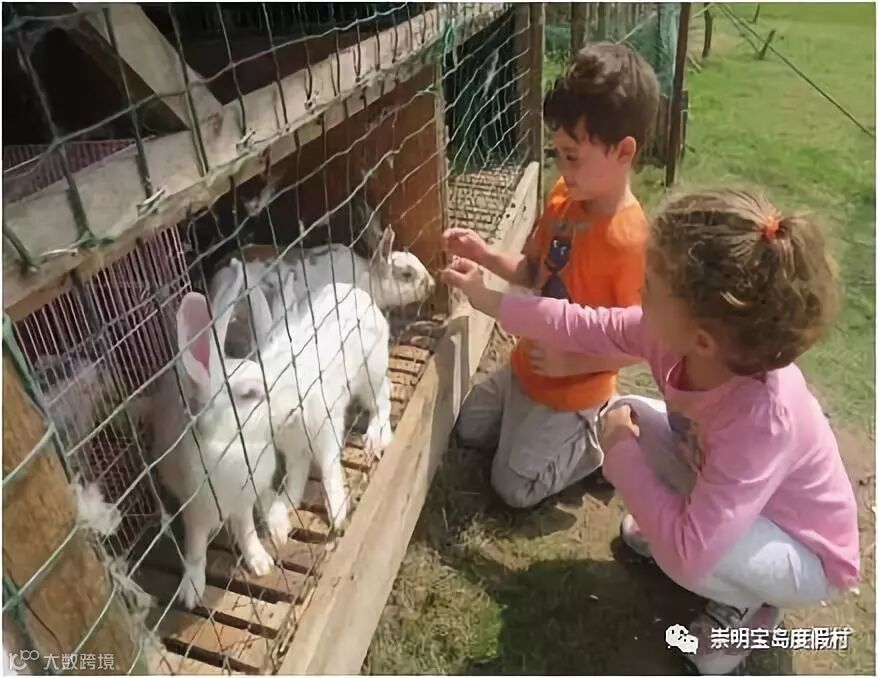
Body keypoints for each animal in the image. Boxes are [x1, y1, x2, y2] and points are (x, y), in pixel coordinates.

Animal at [150, 258, 288, 610]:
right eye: (250, 394)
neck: (234, 445)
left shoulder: (243, 505)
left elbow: (248, 532)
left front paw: (260, 563)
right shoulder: (196, 513)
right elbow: (196, 549)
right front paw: (190, 592)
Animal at [245, 265, 393, 535]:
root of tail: (361, 295)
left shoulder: (326, 435)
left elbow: (328, 470)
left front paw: (337, 515)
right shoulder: (295, 450)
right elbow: (295, 477)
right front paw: (286, 503)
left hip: (370, 375)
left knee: (383, 402)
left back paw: (375, 439)